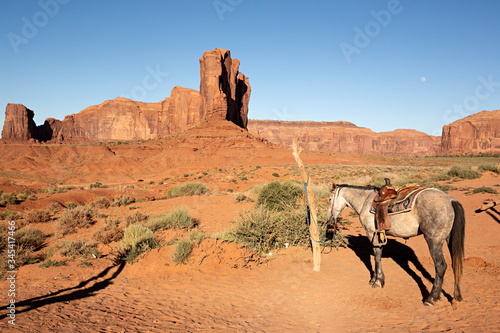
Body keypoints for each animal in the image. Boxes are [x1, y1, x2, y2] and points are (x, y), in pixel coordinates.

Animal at [328, 183, 464, 304]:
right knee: (455, 263)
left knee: (441, 266)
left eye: (329, 199)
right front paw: (375, 279)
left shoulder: (371, 233)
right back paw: (455, 296)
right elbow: (377, 255)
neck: (365, 201)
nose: (329, 218)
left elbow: (377, 256)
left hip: (434, 241)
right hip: (448, 239)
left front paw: (377, 281)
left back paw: (431, 298)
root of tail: (451, 200)